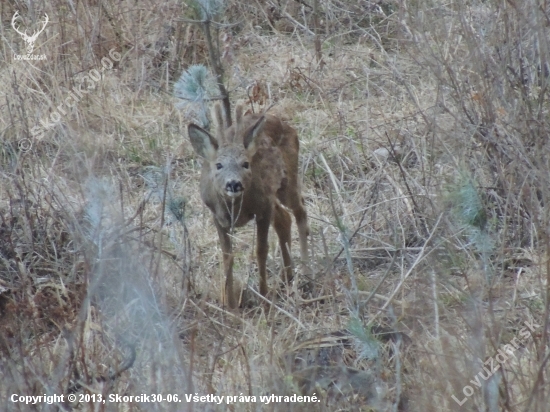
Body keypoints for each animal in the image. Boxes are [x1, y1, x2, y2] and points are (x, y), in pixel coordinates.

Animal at [189, 104, 310, 308]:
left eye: (245, 164)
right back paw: (287, 276)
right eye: (218, 165)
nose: (234, 184)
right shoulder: (216, 216)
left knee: (300, 210)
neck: (236, 209)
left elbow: (261, 251)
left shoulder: (263, 208)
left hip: (287, 180)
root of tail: (284, 123)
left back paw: (305, 270)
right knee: (284, 219)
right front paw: (229, 305)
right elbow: (227, 256)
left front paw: (264, 299)